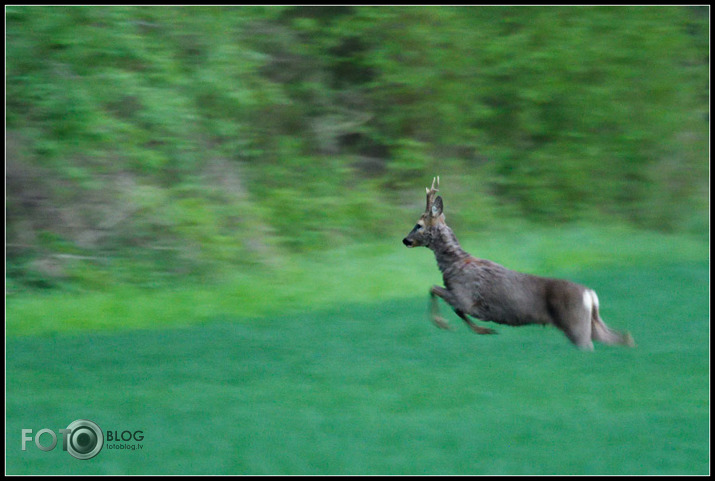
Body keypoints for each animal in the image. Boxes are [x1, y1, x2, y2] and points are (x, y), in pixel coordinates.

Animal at [402, 176, 636, 348]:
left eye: (419, 225)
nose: (405, 240)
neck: (454, 265)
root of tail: (591, 295)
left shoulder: (465, 297)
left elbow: (437, 291)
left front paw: (447, 325)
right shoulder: (464, 300)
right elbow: (443, 297)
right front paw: (482, 330)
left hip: (575, 323)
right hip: (592, 324)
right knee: (622, 337)